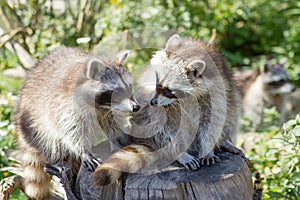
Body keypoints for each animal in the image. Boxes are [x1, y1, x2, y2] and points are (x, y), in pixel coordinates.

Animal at [14, 46, 139, 199]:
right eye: (115, 90)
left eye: (129, 86)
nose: (136, 107)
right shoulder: (64, 105)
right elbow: (71, 130)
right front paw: (84, 151)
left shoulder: (106, 109)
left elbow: (111, 122)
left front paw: (117, 137)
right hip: (34, 121)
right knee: (50, 139)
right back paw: (56, 160)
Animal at [93, 34, 244, 186]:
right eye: (156, 82)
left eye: (168, 90)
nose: (153, 102)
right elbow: (162, 127)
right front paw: (179, 152)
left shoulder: (217, 89)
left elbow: (213, 119)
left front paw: (207, 148)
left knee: (231, 110)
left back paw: (224, 140)